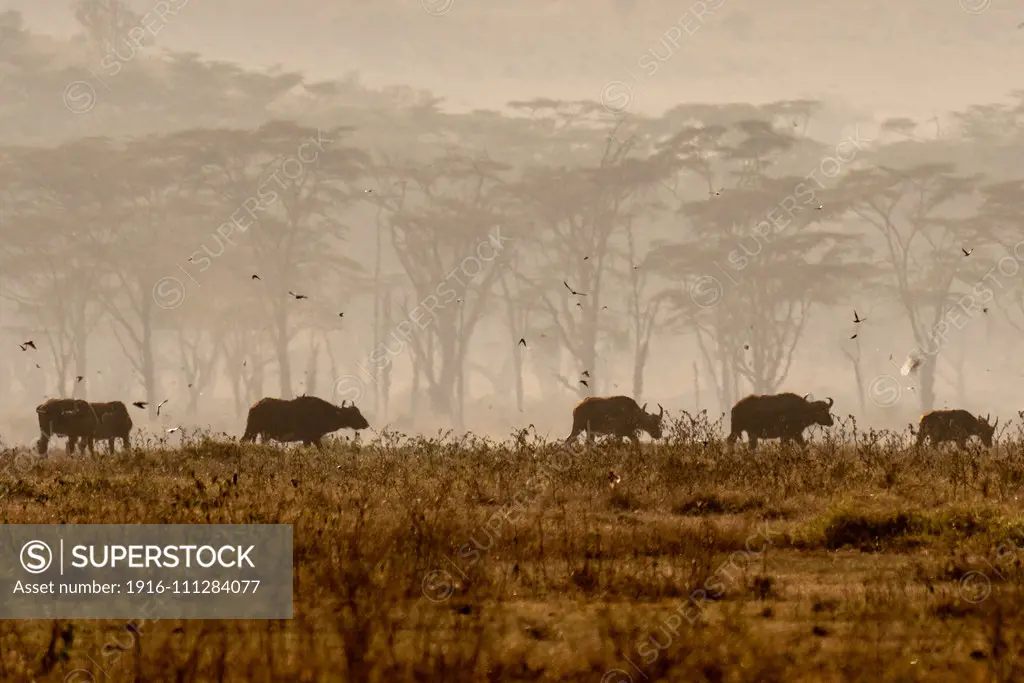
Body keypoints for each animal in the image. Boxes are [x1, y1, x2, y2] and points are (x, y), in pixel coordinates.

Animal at [238, 393, 368, 450]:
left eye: (358, 412)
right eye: (352, 414)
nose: (366, 423)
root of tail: (254, 407)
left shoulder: (314, 438)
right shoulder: (309, 438)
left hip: (263, 434)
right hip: (251, 430)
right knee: (242, 441)